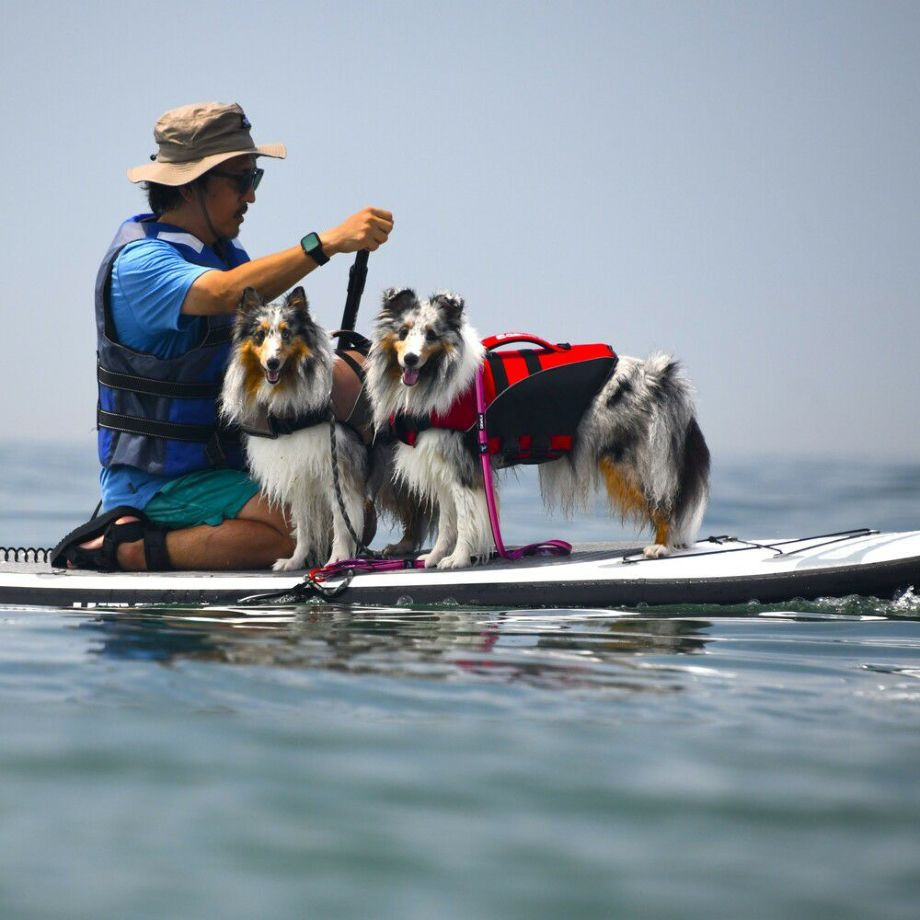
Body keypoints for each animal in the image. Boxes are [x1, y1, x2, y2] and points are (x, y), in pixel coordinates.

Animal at [220, 284, 366, 572]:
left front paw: (337, 559)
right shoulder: (297, 469)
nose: (272, 363)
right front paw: (295, 560)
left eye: (287, 333)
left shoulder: (337, 467)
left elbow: (341, 520)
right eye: (260, 334)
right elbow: (304, 524)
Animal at [366, 292, 712, 572]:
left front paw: (458, 559)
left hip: (629, 460)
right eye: (403, 332)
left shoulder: (466, 466)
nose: (410, 359)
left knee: (663, 501)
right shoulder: (443, 466)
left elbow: (465, 521)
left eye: (431, 334)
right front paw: (436, 557)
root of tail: (655, 374)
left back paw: (661, 546)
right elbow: (447, 522)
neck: (436, 376)